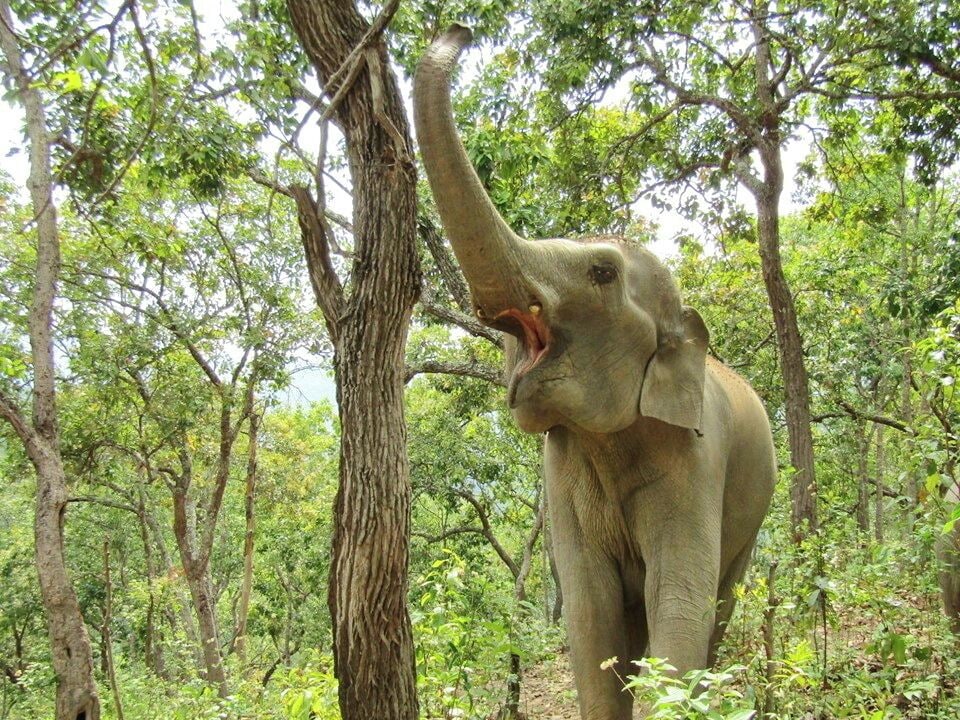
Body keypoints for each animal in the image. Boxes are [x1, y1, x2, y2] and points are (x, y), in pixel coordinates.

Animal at [413, 25, 777, 720]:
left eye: (602, 272)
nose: (457, 31)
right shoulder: (562, 472)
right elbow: (590, 614)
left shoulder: (698, 460)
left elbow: (679, 603)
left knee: (719, 603)